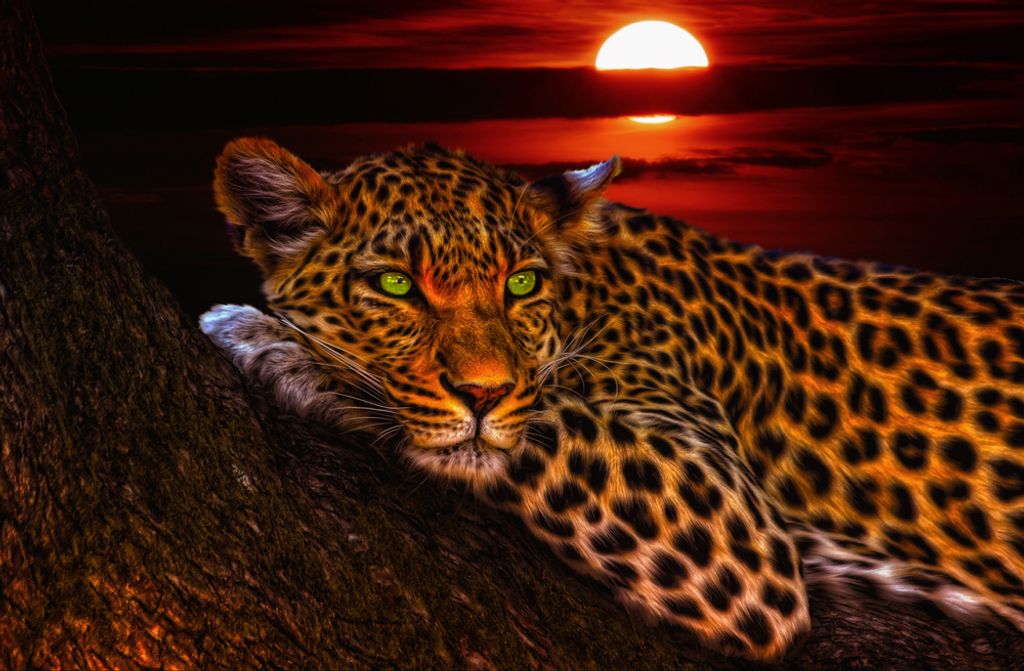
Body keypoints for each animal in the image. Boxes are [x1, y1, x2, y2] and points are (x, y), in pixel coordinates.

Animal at [200, 137, 1024, 661]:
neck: (587, 292)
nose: (482, 392)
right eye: (397, 284)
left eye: (521, 283)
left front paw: (270, 340)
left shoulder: (728, 521)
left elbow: (537, 424)